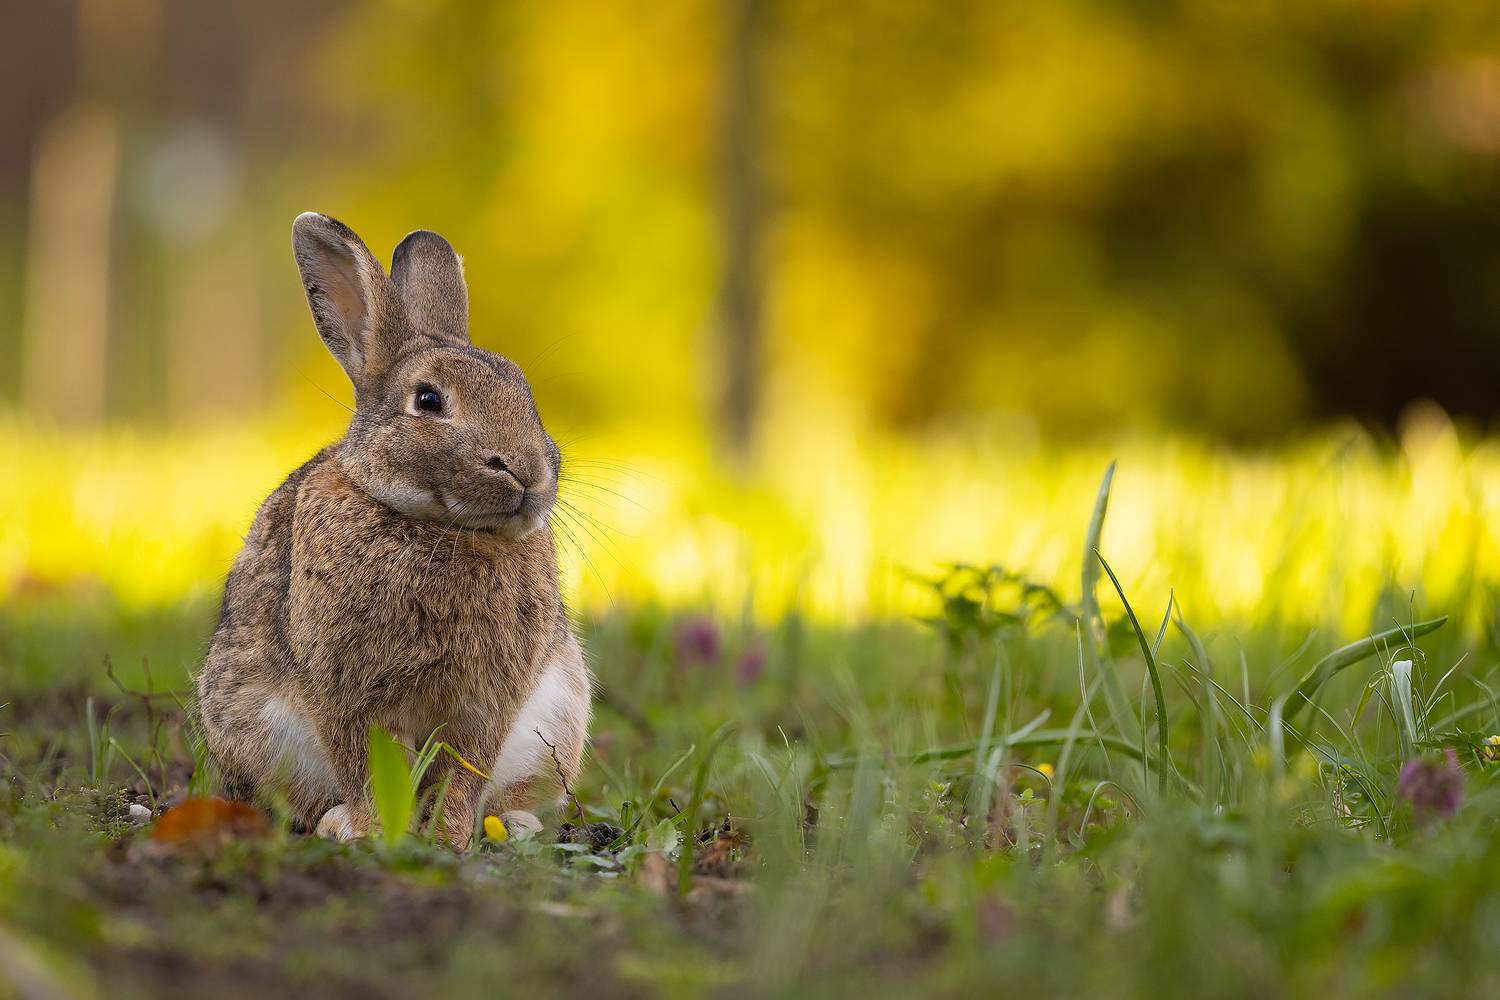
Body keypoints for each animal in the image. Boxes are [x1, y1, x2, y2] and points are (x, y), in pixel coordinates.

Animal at [195, 212, 592, 846]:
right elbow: (362, 766)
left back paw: (516, 825)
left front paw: (448, 839)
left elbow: (463, 774)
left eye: (523, 391)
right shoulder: (344, 692)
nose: (528, 471)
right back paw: (335, 823)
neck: (441, 526)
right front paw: (375, 832)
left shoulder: (488, 702)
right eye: (428, 400)